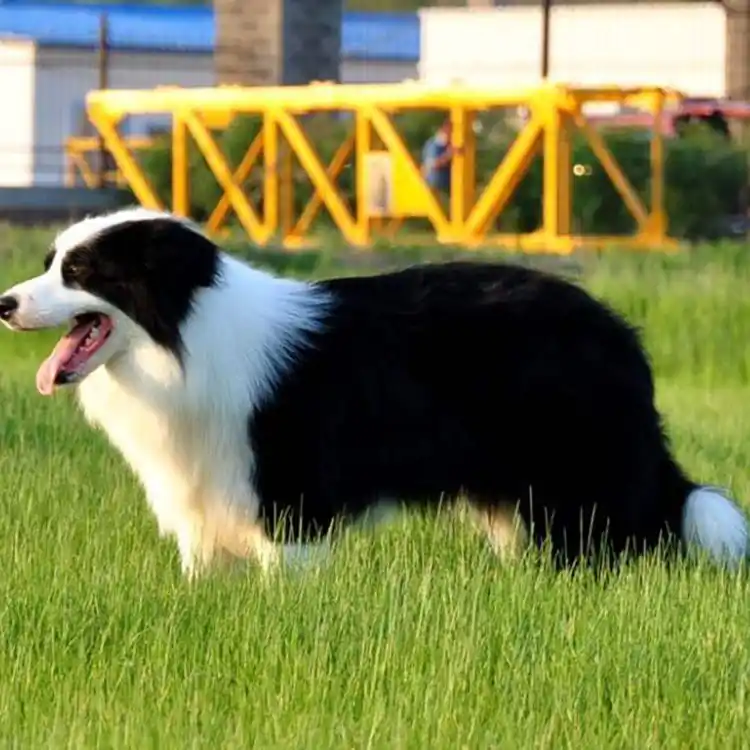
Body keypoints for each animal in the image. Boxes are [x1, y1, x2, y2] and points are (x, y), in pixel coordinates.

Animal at [0, 209, 748, 580]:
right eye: (49, 264)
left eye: (81, 271)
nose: (5, 304)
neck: (181, 338)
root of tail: (619, 332)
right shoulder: (205, 495)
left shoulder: (291, 497)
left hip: (584, 476)